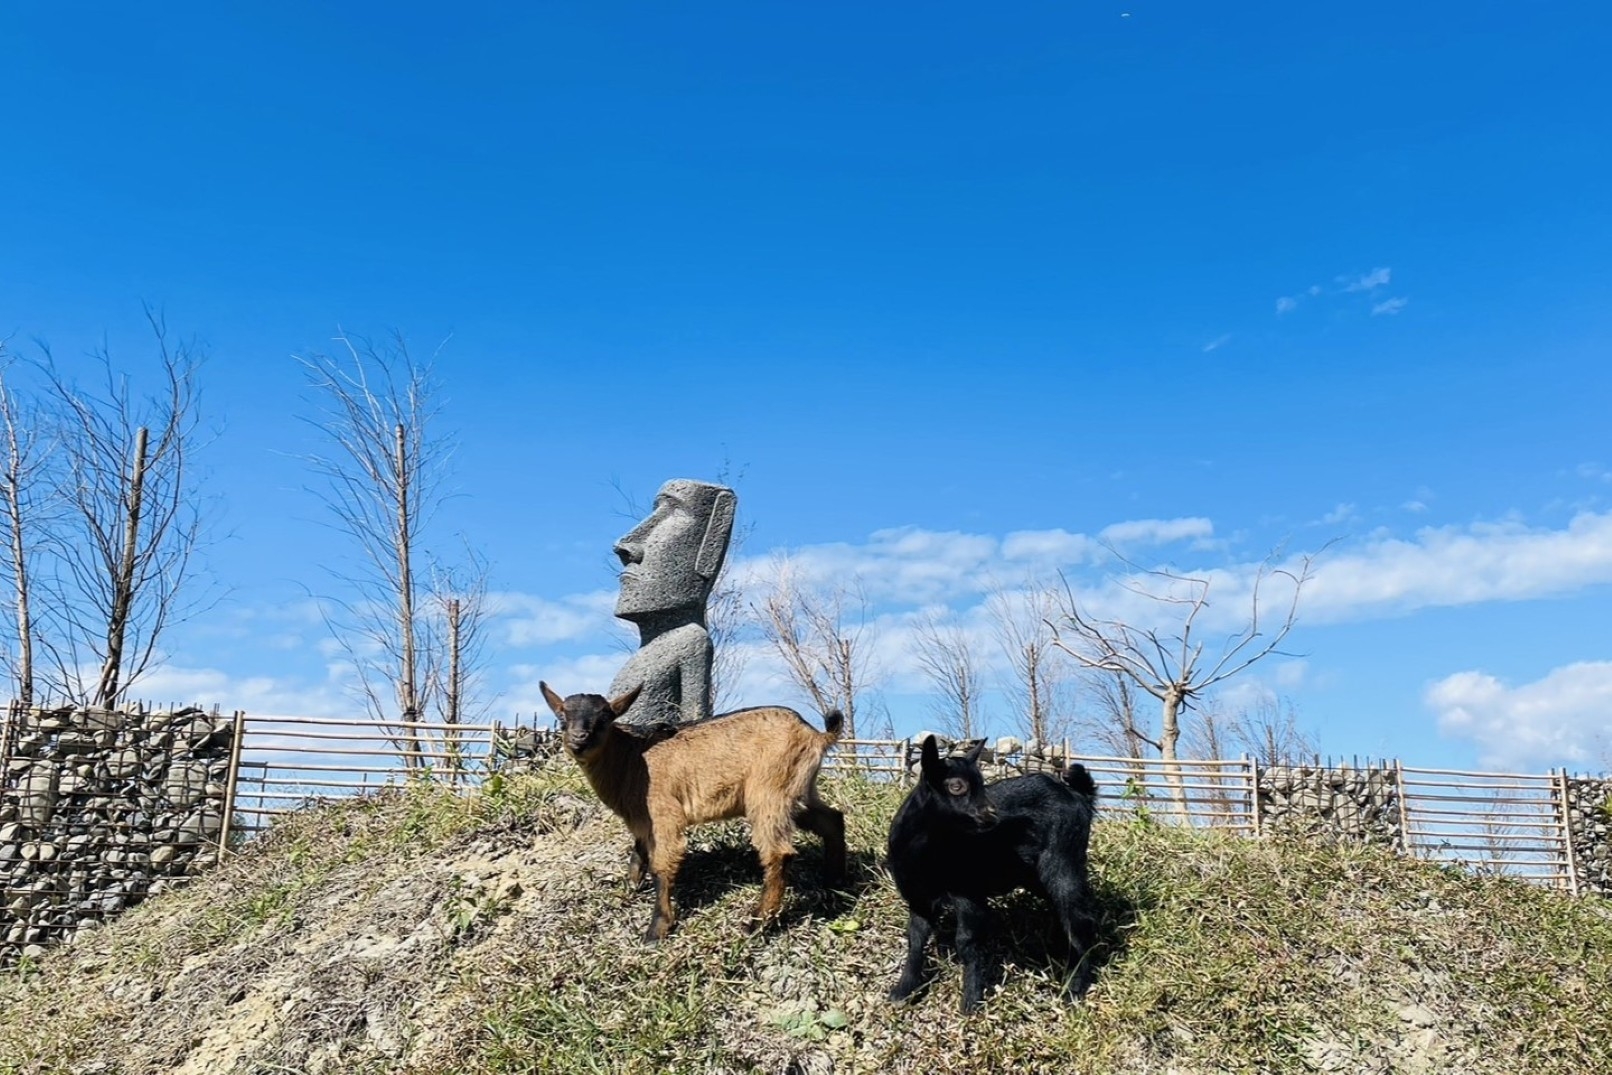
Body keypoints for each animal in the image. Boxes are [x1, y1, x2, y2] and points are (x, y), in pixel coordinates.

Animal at [541, 680, 851, 941]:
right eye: (562, 718)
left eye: (605, 718)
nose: (579, 739)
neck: (632, 758)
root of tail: (816, 735)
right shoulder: (643, 821)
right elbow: (638, 856)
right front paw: (630, 889)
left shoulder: (664, 813)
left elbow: (661, 865)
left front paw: (656, 930)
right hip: (798, 792)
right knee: (832, 819)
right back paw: (833, 882)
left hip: (769, 791)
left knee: (779, 852)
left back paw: (756, 923)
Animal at [889, 734, 1102, 1012]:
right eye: (956, 786)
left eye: (982, 783)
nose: (991, 814)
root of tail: (1079, 795)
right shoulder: (918, 898)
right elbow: (915, 940)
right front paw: (903, 991)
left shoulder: (968, 892)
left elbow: (966, 942)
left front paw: (971, 1000)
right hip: (1034, 874)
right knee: (1069, 913)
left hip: (1062, 858)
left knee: (1079, 919)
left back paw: (1074, 988)